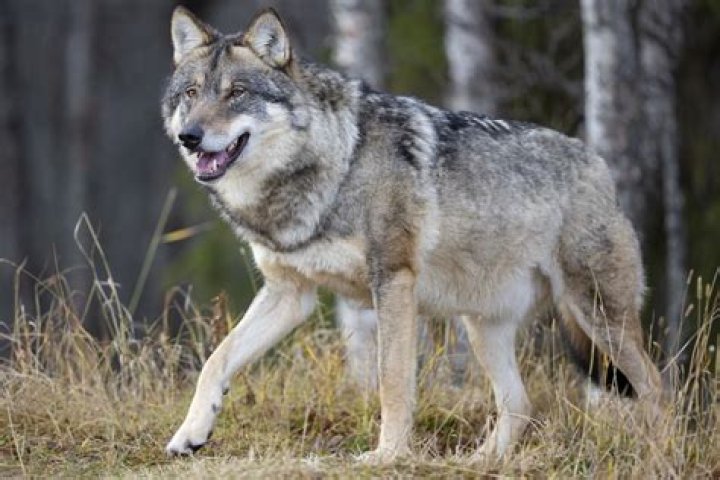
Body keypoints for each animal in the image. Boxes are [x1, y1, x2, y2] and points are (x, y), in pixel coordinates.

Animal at [162, 7, 663, 461]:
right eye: (191, 93)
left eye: (237, 92)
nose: (190, 136)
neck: (334, 162)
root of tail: (597, 162)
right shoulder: (290, 292)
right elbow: (216, 360)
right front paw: (189, 434)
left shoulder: (393, 280)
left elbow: (392, 380)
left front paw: (387, 456)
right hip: (484, 326)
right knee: (519, 403)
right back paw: (479, 462)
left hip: (597, 315)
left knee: (656, 385)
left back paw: (659, 450)